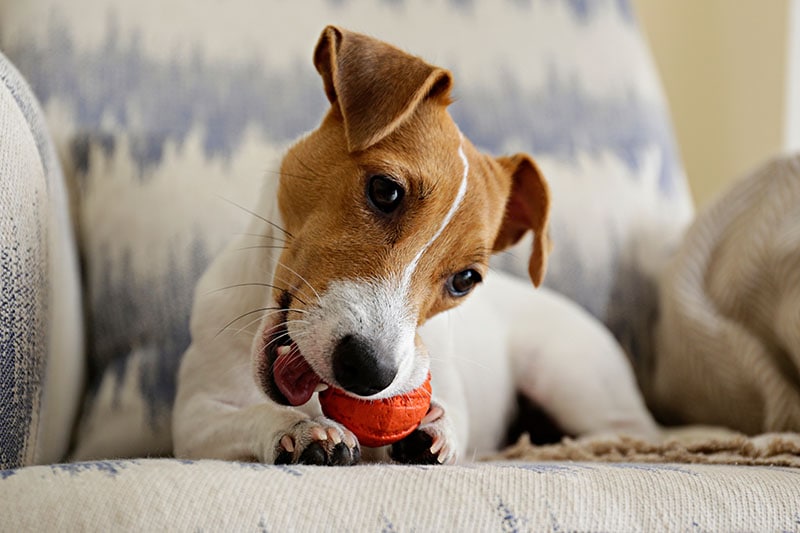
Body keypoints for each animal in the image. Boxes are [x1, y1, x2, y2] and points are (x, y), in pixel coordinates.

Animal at [173, 26, 656, 466]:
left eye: (464, 280)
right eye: (385, 191)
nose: (369, 373)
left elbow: (451, 418)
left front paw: (435, 428)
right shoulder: (193, 420)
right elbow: (244, 416)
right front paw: (301, 428)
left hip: (568, 376)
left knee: (629, 431)